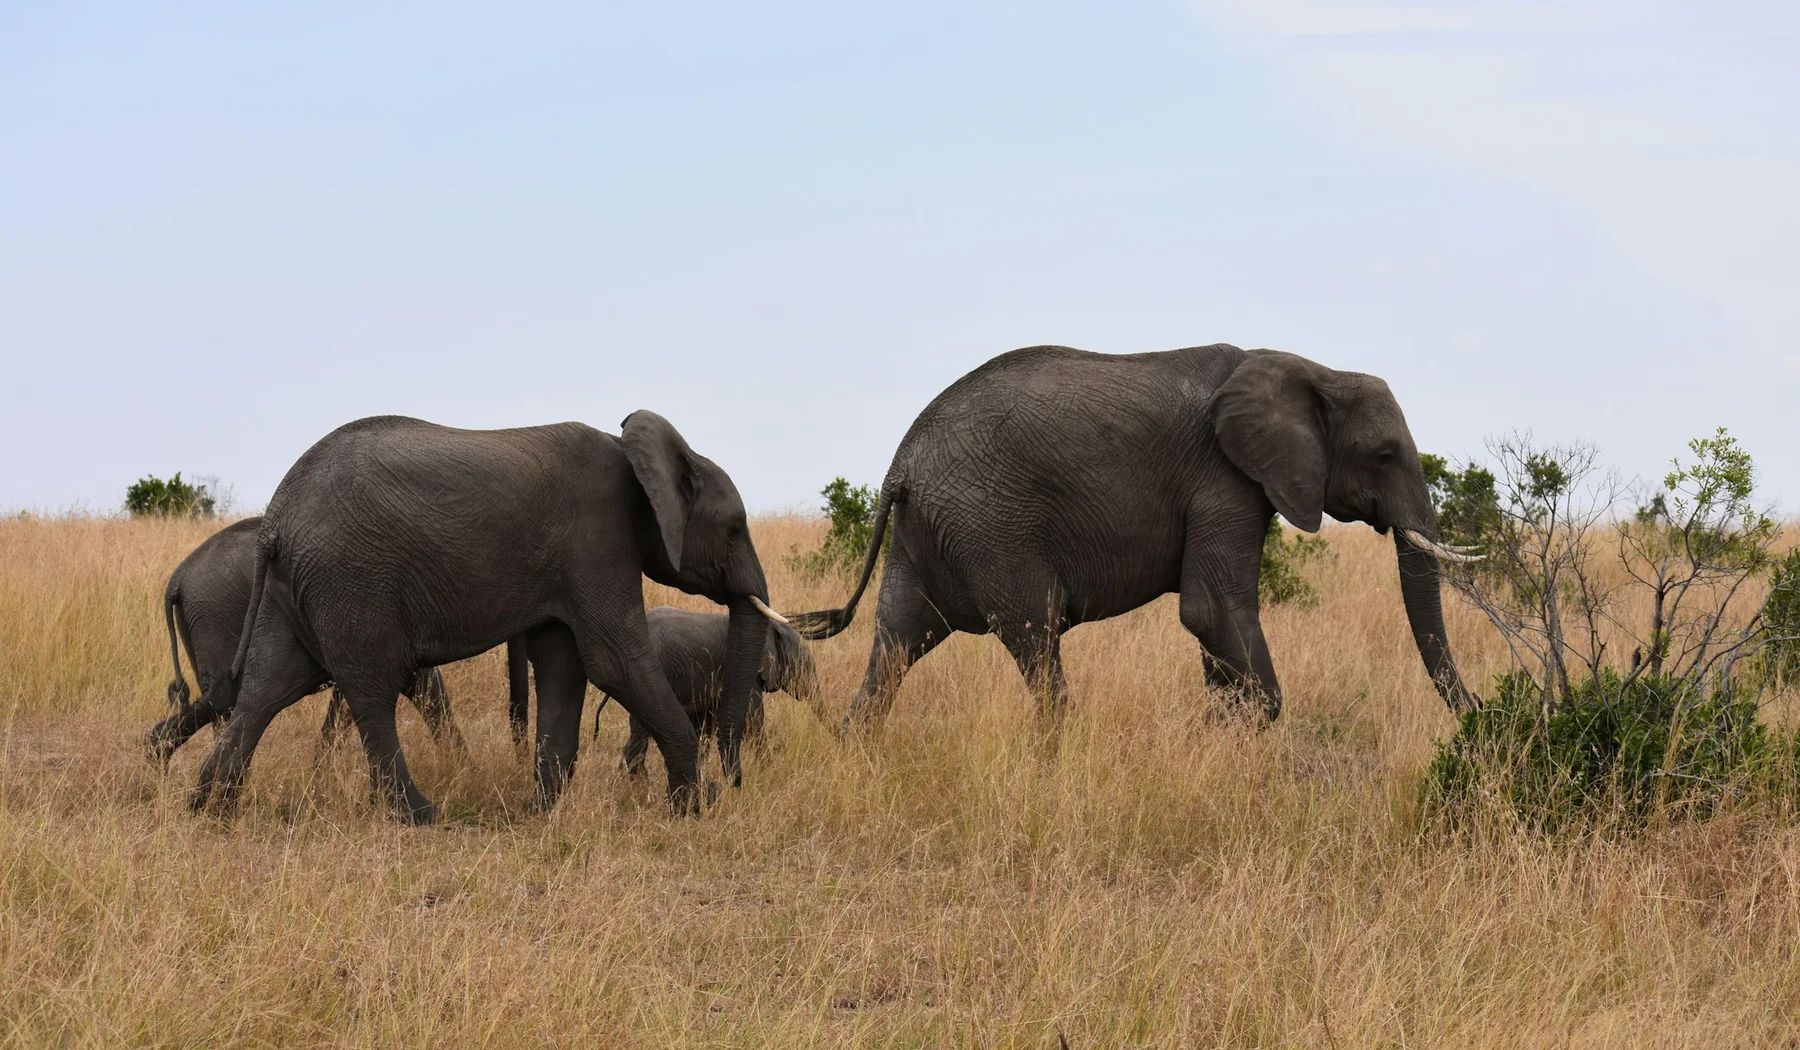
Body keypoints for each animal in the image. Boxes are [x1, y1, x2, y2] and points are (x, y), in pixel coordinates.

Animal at [187, 411, 783, 823]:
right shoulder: (598, 541)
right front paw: (694, 805)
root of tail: (275, 519)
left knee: (268, 688)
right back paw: (421, 816)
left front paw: (541, 812)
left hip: (292, 588)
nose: (733, 784)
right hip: (350, 581)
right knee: (371, 690)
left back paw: (210, 807)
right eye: (734, 529)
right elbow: (615, 662)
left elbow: (565, 667)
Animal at [794, 344, 1478, 727]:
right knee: (1035, 636)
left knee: (897, 639)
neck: (1312, 368)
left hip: (926, 533)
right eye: (1384, 455)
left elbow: (1213, 629)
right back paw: (1056, 756)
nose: (1479, 714)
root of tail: (900, 464)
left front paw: (1223, 736)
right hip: (991, 526)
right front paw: (1250, 732)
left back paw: (854, 745)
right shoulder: (1224, 480)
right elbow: (1212, 610)